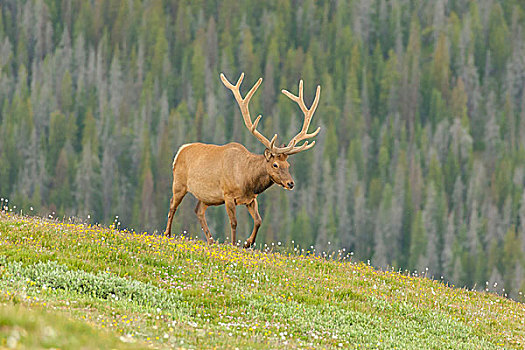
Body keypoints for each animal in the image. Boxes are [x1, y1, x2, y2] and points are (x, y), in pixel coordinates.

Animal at [164, 72, 320, 247]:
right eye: (275, 164)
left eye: (288, 164)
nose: (291, 183)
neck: (248, 180)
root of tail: (180, 151)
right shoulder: (228, 195)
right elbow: (234, 222)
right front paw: (234, 245)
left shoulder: (251, 199)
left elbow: (259, 220)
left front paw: (247, 243)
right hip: (179, 183)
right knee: (172, 205)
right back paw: (167, 234)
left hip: (207, 197)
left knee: (198, 210)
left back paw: (211, 240)